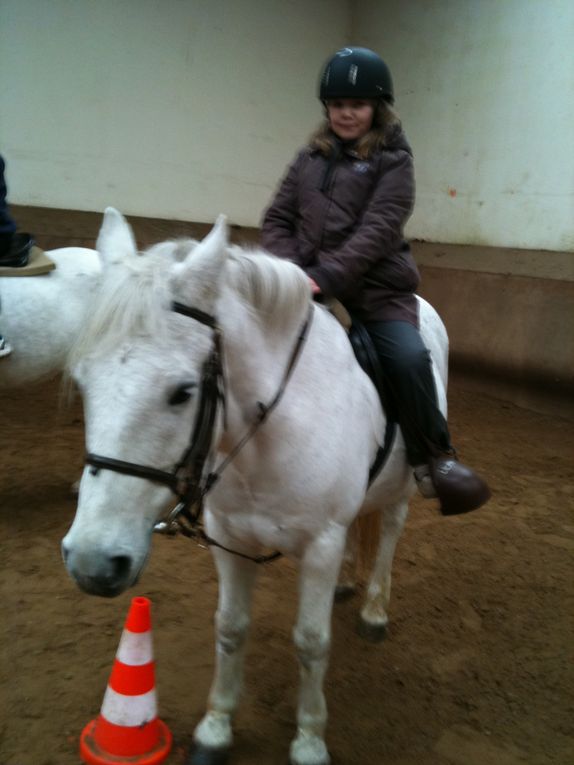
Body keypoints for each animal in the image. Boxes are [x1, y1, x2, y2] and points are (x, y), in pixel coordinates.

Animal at [63, 209, 450, 764]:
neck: (268, 435)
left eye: (183, 391)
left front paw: (309, 740)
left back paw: (375, 609)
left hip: (402, 487)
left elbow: (311, 642)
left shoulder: (320, 544)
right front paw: (215, 729)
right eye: (82, 380)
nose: (93, 563)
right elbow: (230, 628)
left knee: (391, 532)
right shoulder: (230, 538)